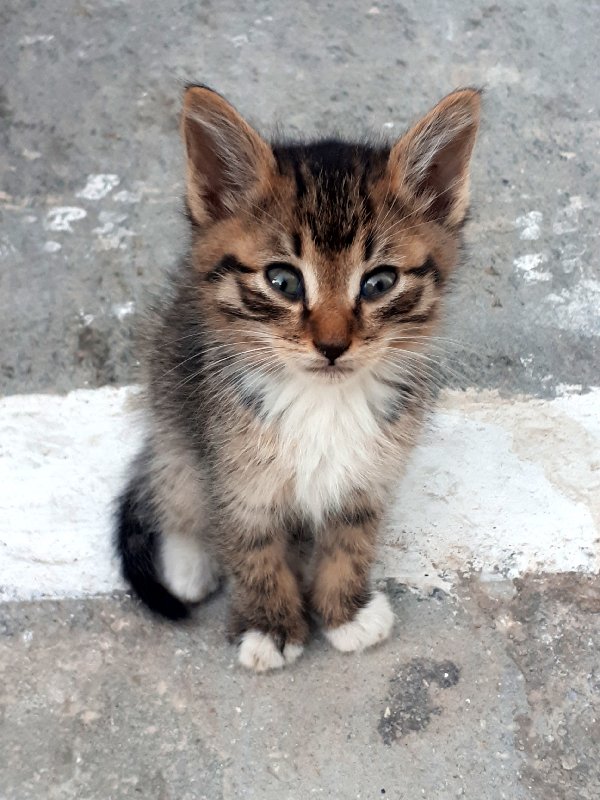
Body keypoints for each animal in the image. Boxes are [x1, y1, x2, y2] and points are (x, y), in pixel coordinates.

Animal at [116, 84, 482, 672]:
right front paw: (269, 624)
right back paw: (188, 560)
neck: (323, 401)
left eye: (379, 282)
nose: (332, 345)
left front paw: (345, 612)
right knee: (171, 471)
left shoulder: (370, 471)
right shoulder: (235, 465)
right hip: (171, 390)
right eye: (283, 280)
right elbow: (250, 544)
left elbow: (351, 540)